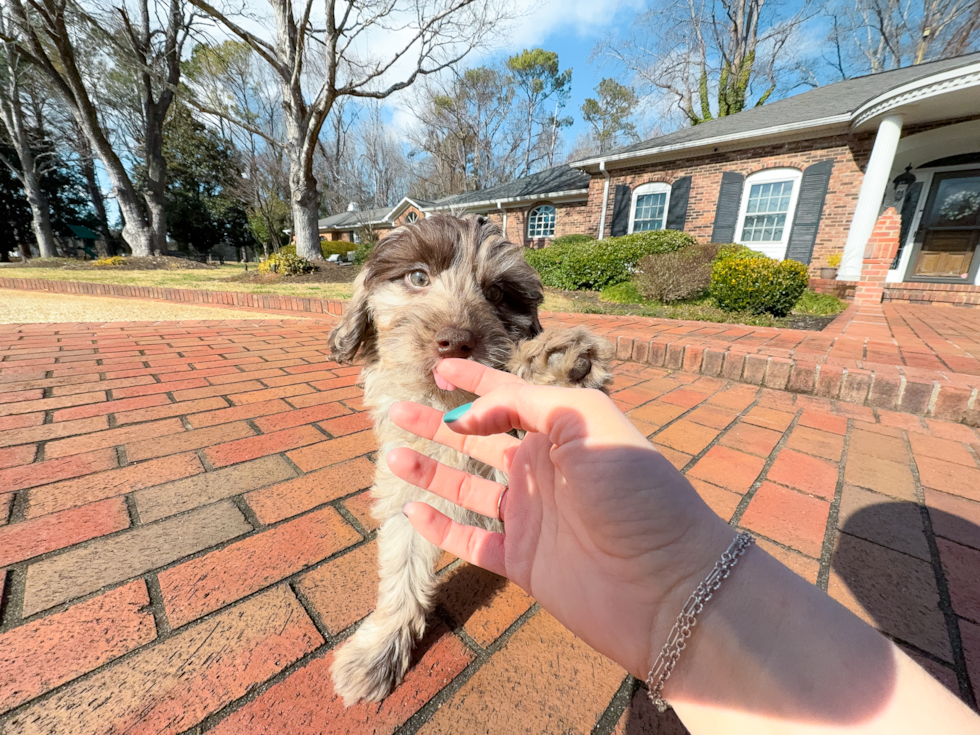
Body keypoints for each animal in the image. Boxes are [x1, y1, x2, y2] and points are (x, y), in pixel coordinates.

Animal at [326, 214, 608, 708]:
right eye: (418, 278)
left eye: (496, 294)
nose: (456, 342)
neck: (451, 404)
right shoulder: (408, 485)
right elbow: (402, 566)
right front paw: (378, 650)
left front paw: (554, 366)